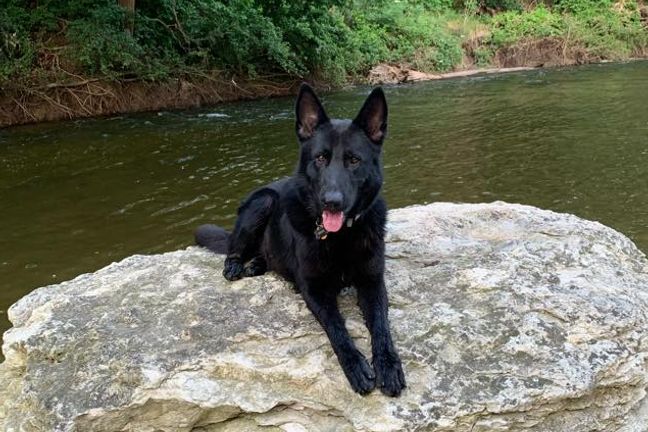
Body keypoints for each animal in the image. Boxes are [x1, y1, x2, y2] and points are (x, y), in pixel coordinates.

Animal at [195, 84, 406, 396]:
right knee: (234, 247)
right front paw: (355, 365)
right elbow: (337, 329)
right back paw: (236, 265)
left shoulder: (372, 282)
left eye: (354, 160)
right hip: (263, 201)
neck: (341, 238)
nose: (331, 202)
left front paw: (388, 364)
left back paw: (257, 264)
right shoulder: (314, 289)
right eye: (320, 158)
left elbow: (381, 325)